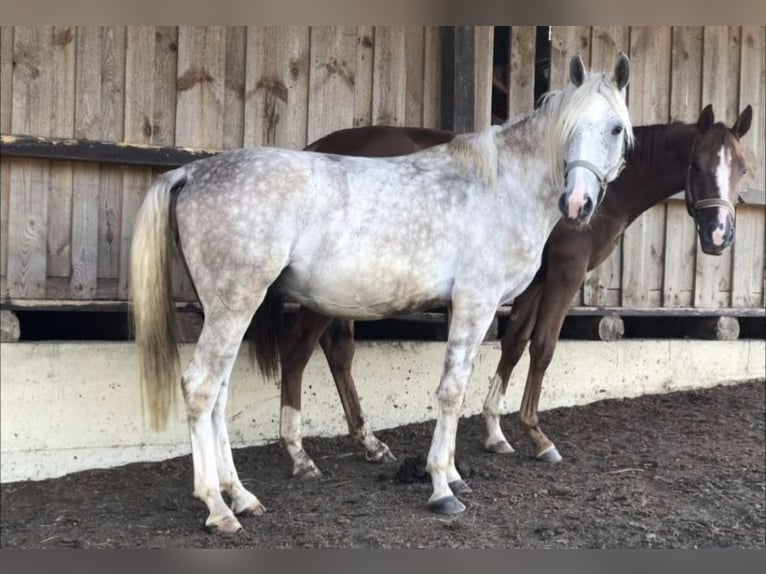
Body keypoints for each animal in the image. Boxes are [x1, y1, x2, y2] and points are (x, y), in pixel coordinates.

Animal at [130, 55, 636, 536]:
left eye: (614, 128)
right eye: (569, 126)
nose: (577, 205)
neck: (500, 188)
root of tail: (193, 171)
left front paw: (454, 475)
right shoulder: (476, 302)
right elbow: (452, 392)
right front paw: (441, 487)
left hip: (230, 309)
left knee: (218, 392)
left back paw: (242, 496)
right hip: (234, 305)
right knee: (201, 387)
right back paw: (218, 508)